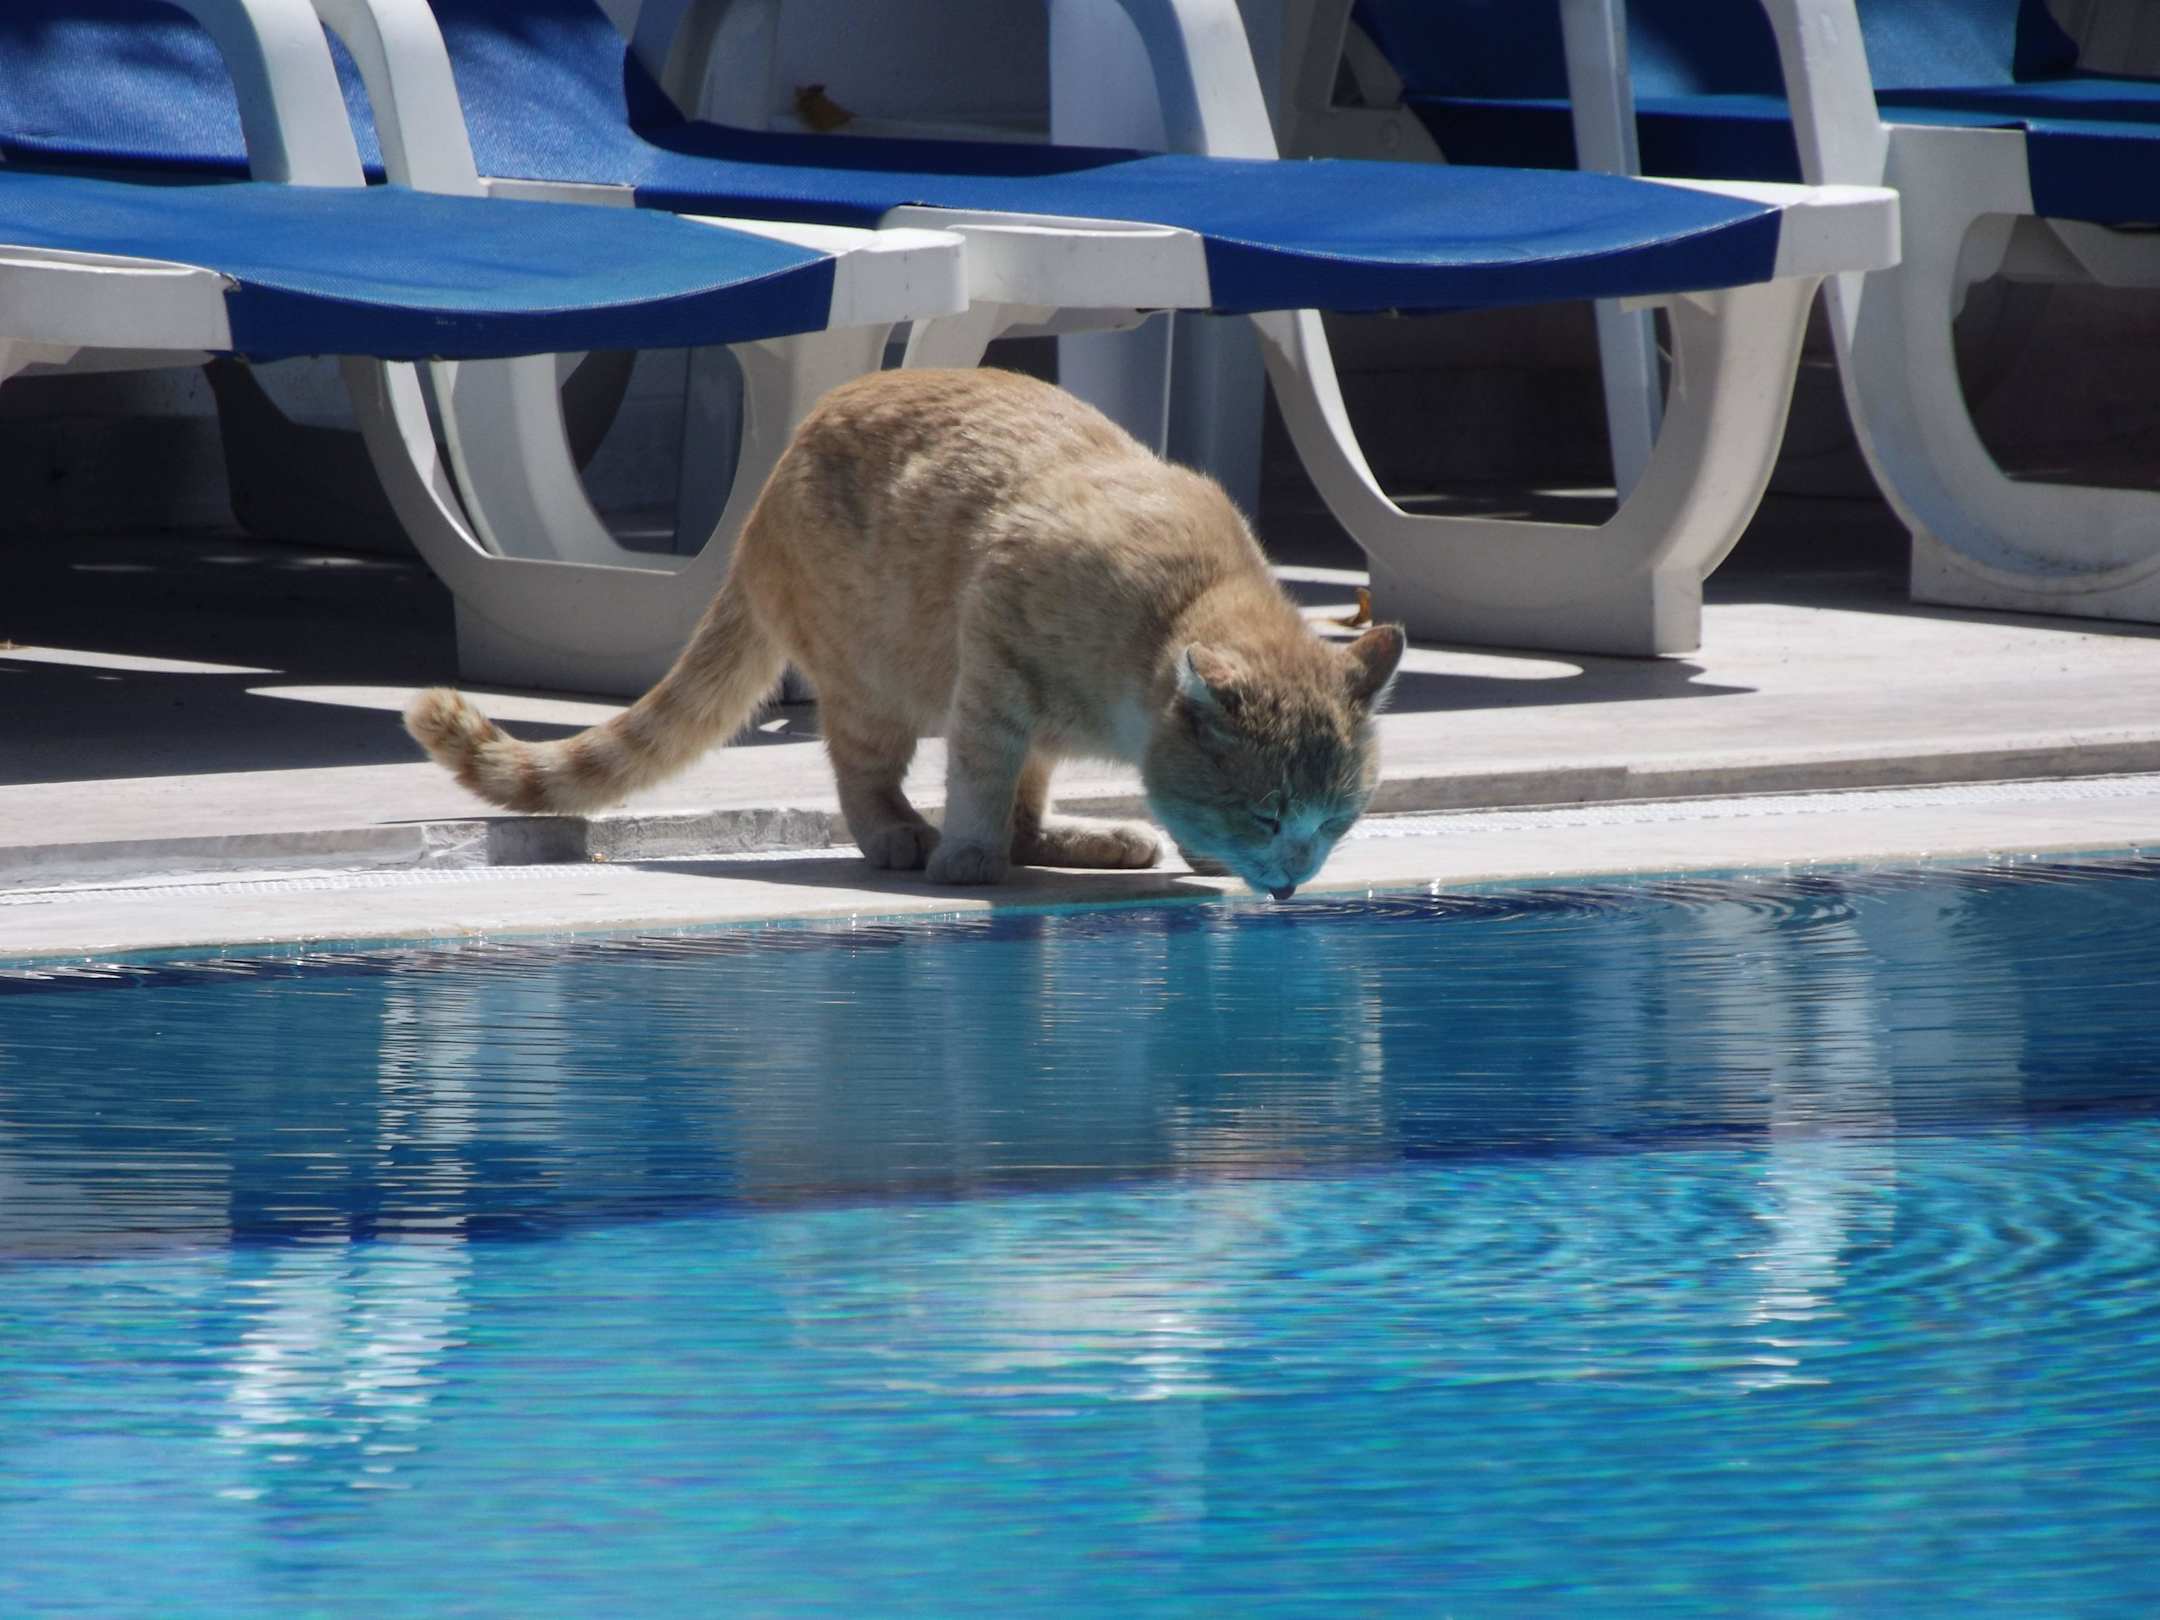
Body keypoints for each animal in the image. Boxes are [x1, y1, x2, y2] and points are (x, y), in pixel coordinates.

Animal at [405, 368, 1403, 898]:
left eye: (1336, 822)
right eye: (1269, 814)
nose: (1292, 881)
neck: (1187, 594)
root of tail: (760, 502)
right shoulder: (994, 656)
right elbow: (979, 773)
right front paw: (965, 855)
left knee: (1029, 813)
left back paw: (1078, 841)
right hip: (872, 683)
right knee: (863, 772)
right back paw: (902, 835)